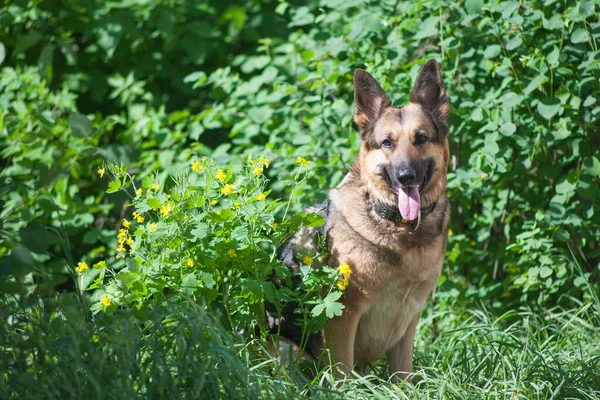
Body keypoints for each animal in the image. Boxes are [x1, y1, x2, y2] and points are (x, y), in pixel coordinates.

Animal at [278, 58, 448, 382]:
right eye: (387, 143)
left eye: (421, 138)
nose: (406, 176)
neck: (398, 230)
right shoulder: (342, 316)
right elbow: (342, 373)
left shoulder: (409, 319)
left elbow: (403, 376)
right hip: (287, 350)